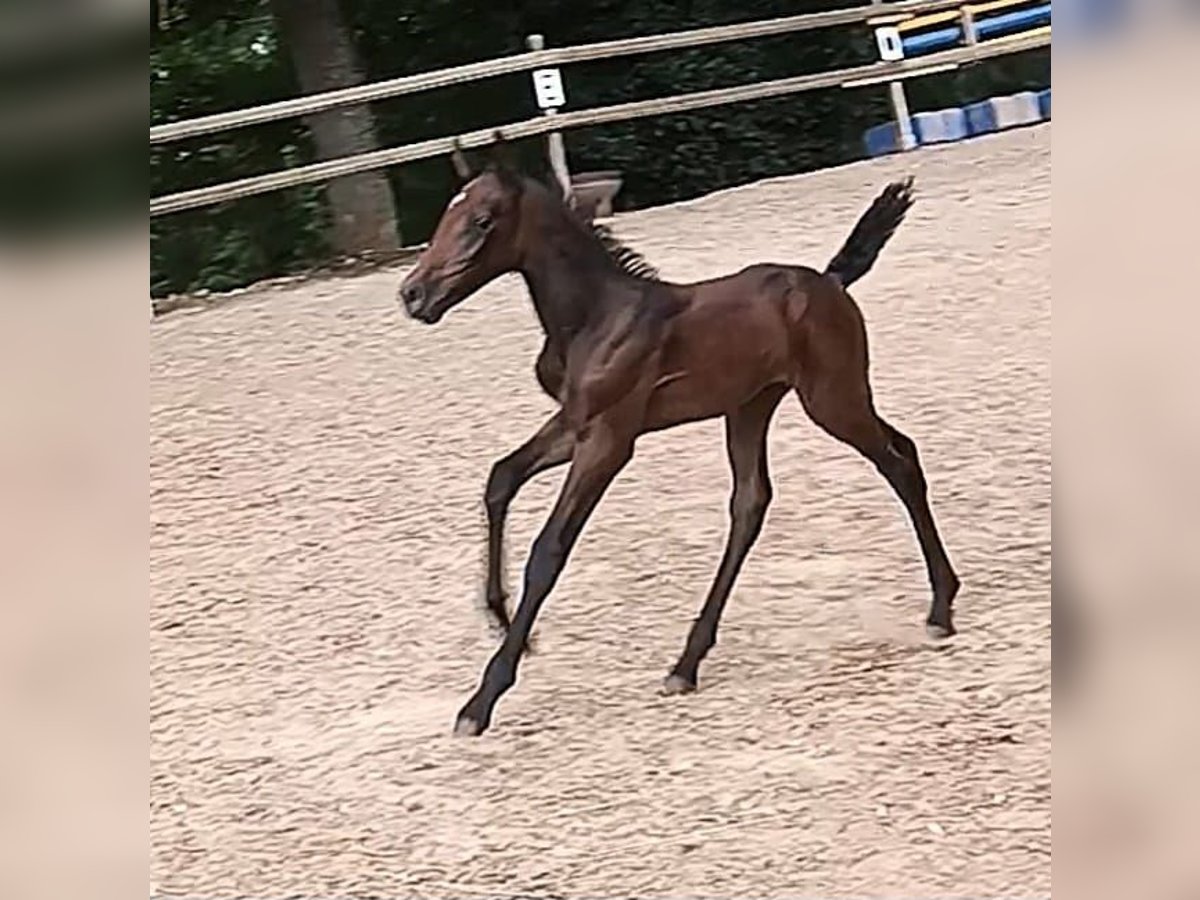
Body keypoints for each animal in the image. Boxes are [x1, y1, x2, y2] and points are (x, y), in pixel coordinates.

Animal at [398, 138, 960, 737]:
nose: (413, 294)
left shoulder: (610, 440)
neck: (595, 316)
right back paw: (686, 663)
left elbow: (549, 549)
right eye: (445, 214)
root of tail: (831, 281)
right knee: (755, 501)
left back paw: (940, 609)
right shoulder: (575, 425)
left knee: (897, 460)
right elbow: (500, 478)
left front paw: (483, 698)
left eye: (482, 221)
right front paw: (505, 625)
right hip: (752, 406)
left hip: (833, 398)